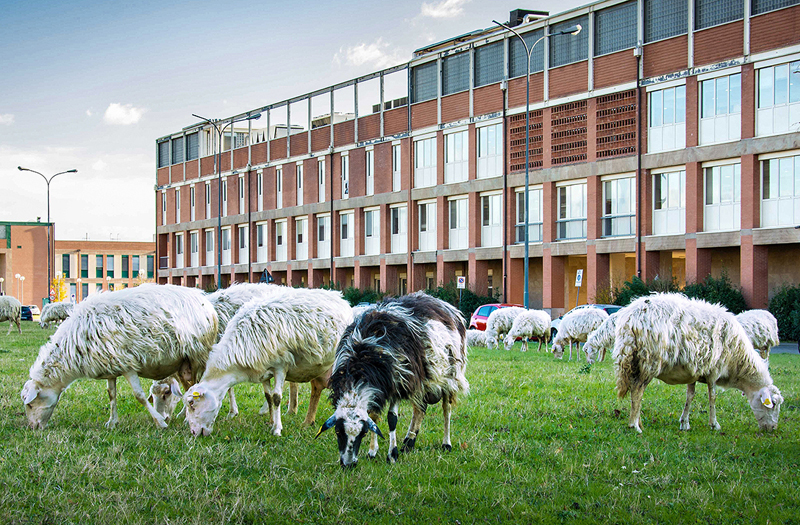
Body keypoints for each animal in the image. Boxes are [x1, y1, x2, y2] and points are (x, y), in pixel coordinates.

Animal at [20, 284, 217, 428]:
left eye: (30, 404)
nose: (33, 427)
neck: (72, 349)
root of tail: (203, 299)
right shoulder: (111, 367)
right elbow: (111, 395)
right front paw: (112, 422)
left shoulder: (128, 365)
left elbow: (139, 396)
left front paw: (159, 422)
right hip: (184, 363)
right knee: (188, 387)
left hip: (197, 355)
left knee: (195, 386)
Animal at [187, 288, 354, 436]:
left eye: (192, 404)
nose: (194, 433)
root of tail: (340, 298)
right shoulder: (263, 372)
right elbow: (268, 397)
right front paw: (271, 422)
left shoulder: (281, 366)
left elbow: (276, 398)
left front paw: (277, 429)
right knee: (317, 387)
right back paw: (308, 422)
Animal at [316, 290, 468, 466]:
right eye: (338, 431)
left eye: (362, 433)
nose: (348, 465)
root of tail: (446, 306)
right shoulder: (383, 388)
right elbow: (374, 416)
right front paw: (372, 451)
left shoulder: (397, 383)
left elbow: (392, 419)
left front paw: (392, 454)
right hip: (422, 382)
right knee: (420, 410)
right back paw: (409, 443)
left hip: (450, 377)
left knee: (446, 410)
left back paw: (446, 444)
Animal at [612, 292, 780, 432]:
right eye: (773, 405)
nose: (772, 429)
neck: (737, 362)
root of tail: (631, 318)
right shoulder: (714, 370)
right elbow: (712, 396)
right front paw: (714, 424)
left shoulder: (693, 370)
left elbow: (690, 396)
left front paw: (684, 423)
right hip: (649, 360)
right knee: (637, 391)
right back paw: (634, 426)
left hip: (635, 361)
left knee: (635, 391)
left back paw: (639, 422)